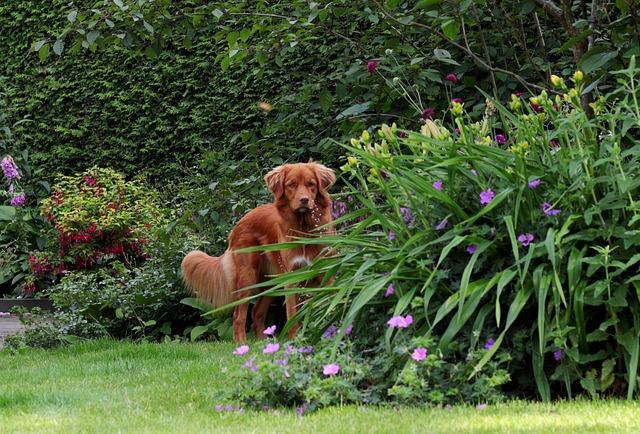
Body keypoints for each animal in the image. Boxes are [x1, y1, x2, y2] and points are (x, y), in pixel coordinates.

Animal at [181, 161, 336, 340]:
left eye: (311, 184)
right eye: (291, 185)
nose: (304, 200)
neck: (304, 228)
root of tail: (239, 224)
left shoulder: (327, 272)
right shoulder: (292, 278)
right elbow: (292, 316)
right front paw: (294, 341)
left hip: (271, 281)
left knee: (256, 312)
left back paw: (263, 342)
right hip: (248, 277)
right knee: (239, 316)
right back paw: (242, 344)